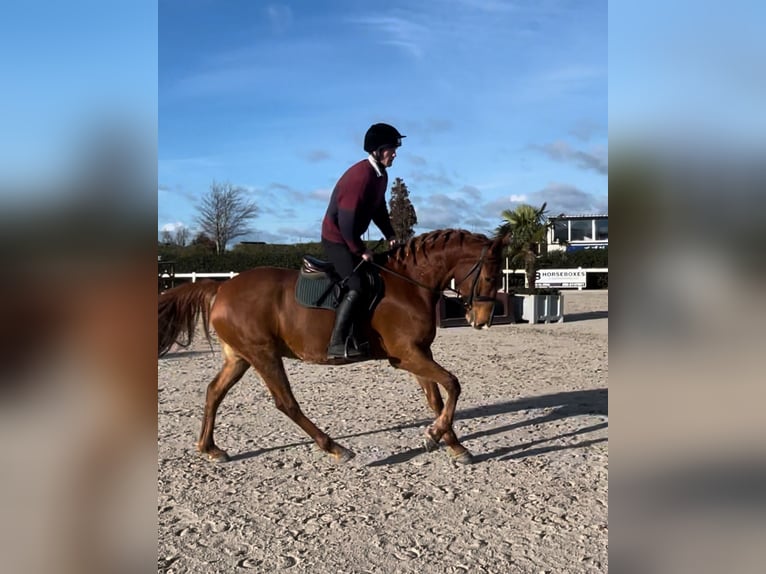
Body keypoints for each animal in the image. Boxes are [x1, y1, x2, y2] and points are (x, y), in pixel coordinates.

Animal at [158, 229, 509, 465]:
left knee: (214, 392)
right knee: (286, 403)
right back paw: (335, 447)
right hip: (264, 354)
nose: (481, 321)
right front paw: (436, 435)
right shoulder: (407, 355)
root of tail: (222, 287)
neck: (409, 283)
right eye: (491, 278)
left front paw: (452, 444)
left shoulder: (420, 353)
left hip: (240, 357)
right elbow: (453, 384)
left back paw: (209, 448)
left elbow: (437, 398)